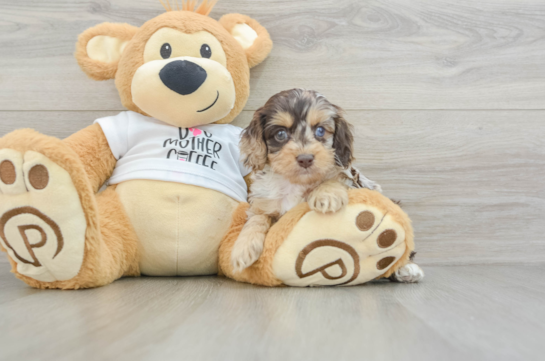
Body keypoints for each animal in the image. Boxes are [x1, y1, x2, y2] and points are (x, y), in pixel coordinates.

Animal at [228, 88, 374, 272]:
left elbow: (336, 177)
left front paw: (326, 195)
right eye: (280, 134)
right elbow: (257, 218)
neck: (294, 183)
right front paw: (243, 247)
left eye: (320, 131)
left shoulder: (352, 181)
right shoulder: (263, 203)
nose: (305, 159)